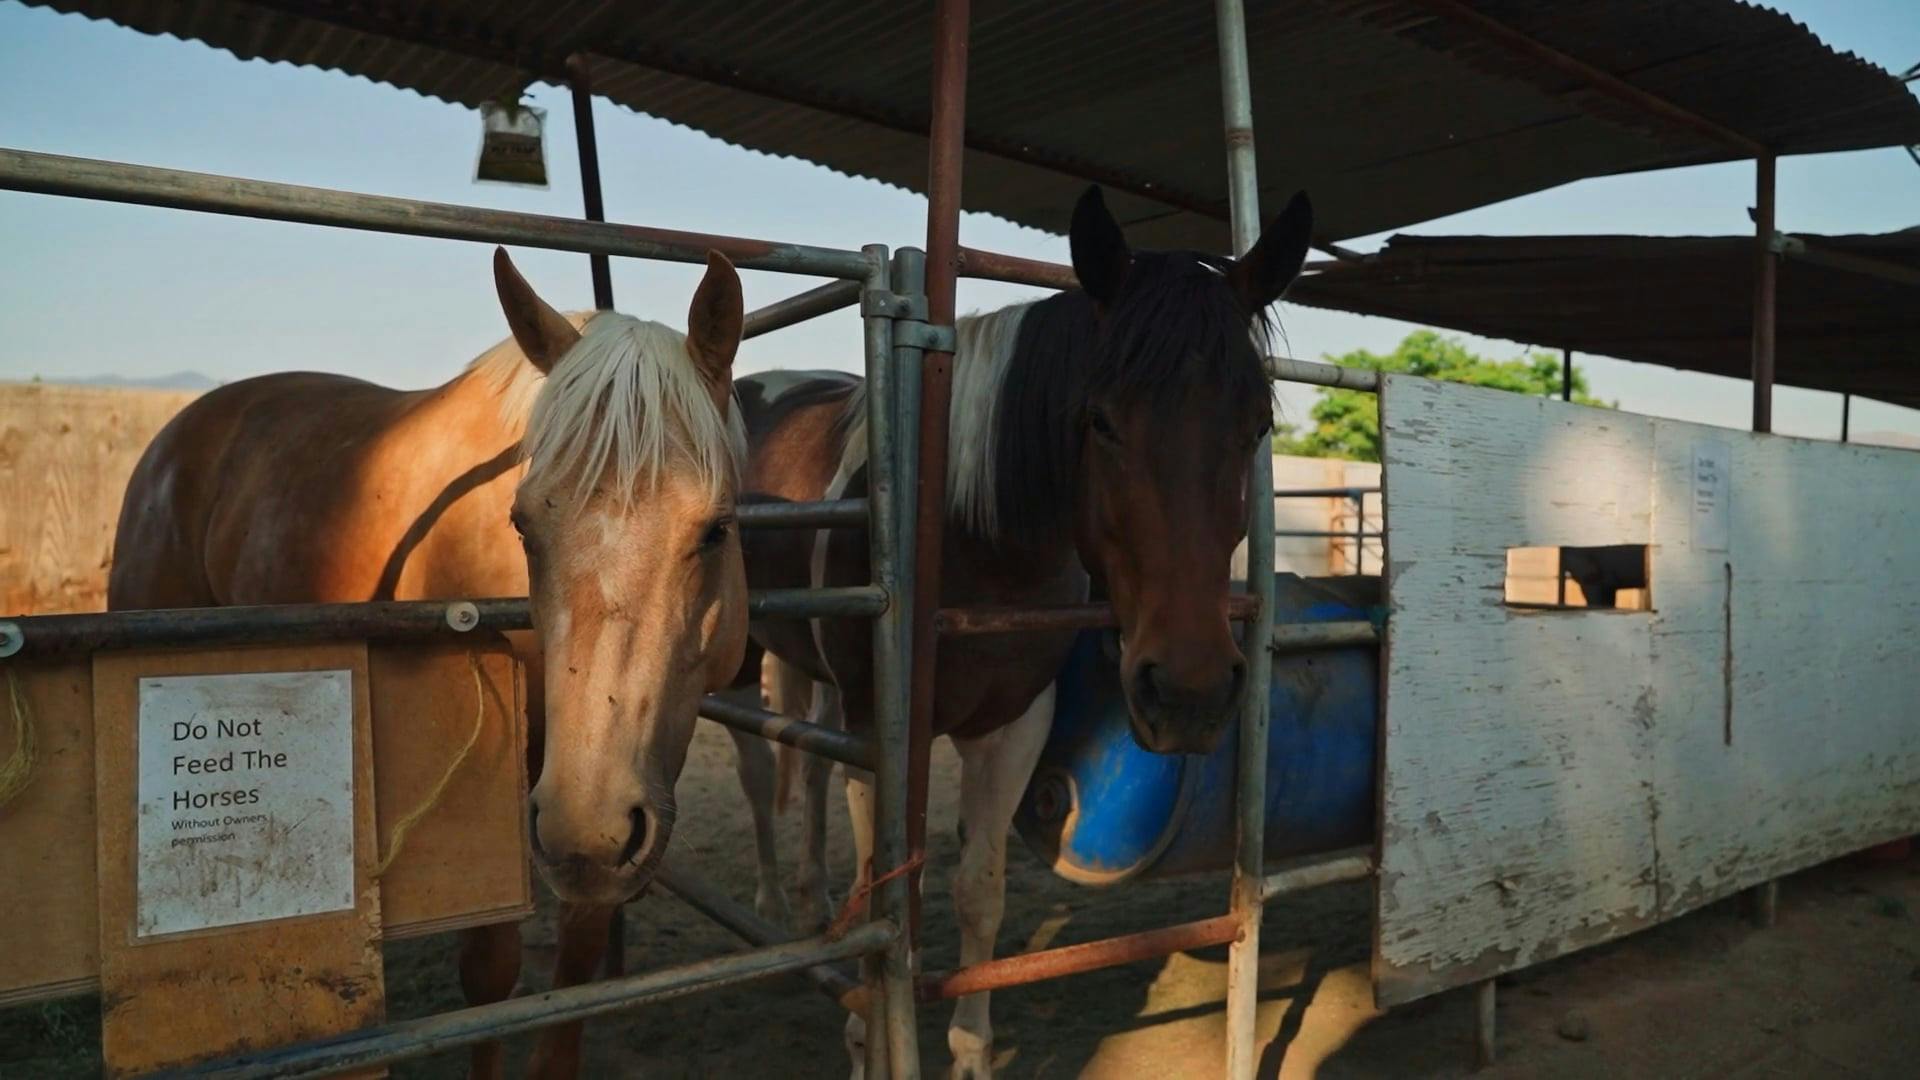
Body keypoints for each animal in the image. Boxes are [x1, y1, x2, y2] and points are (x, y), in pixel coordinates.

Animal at [107, 247, 761, 1079]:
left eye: (716, 530)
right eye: (522, 523)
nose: (587, 831)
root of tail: (182, 428)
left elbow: (578, 960)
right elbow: (488, 974)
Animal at [734, 185, 1313, 1078]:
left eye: (1256, 427)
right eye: (1100, 420)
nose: (1189, 694)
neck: (975, 544)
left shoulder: (1013, 724)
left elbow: (981, 891)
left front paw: (971, 1051)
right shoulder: (885, 732)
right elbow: (890, 897)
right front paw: (870, 1040)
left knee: (812, 763)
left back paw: (808, 901)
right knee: (762, 765)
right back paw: (770, 907)